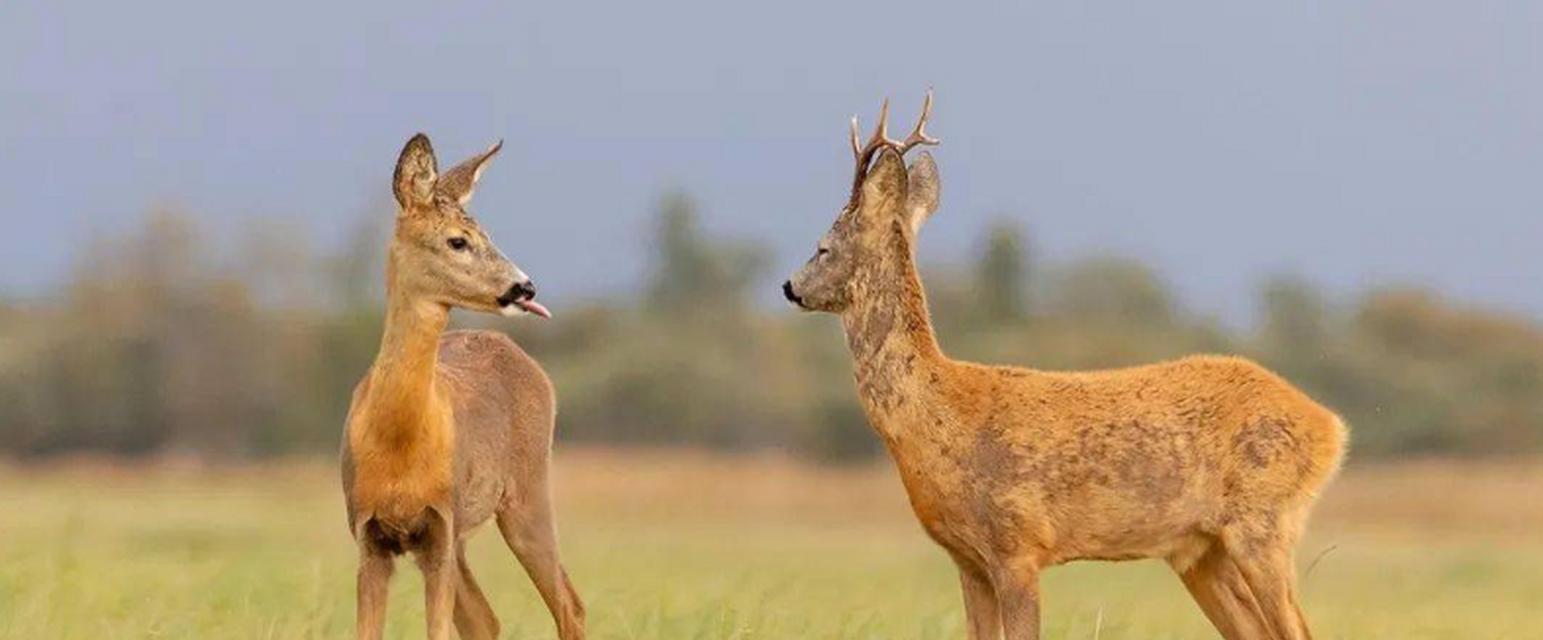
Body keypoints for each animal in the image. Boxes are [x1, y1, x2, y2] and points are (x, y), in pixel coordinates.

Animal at [342, 134, 583, 640]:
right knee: (486, 619)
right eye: (458, 240)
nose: (525, 288)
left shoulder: (440, 524)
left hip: (528, 492)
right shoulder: (369, 534)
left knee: (569, 605)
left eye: (488, 235)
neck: (399, 448)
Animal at [777, 91, 1345, 640]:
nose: (790, 286)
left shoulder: (1018, 546)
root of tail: (1331, 426)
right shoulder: (968, 560)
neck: (938, 415)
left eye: (822, 247)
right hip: (1200, 551)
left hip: (1263, 525)